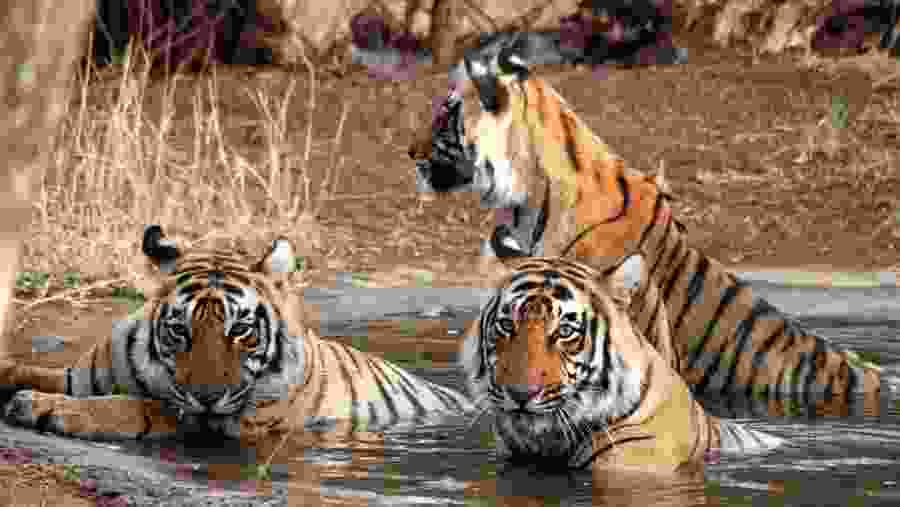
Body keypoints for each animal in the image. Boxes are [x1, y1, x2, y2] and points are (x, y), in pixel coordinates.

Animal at [0, 225, 473, 442]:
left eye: (241, 329)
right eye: (179, 330)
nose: (208, 397)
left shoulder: (214, 420)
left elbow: (134, 405)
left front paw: (40, 407)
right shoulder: (75, 376)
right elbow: (28, 369)